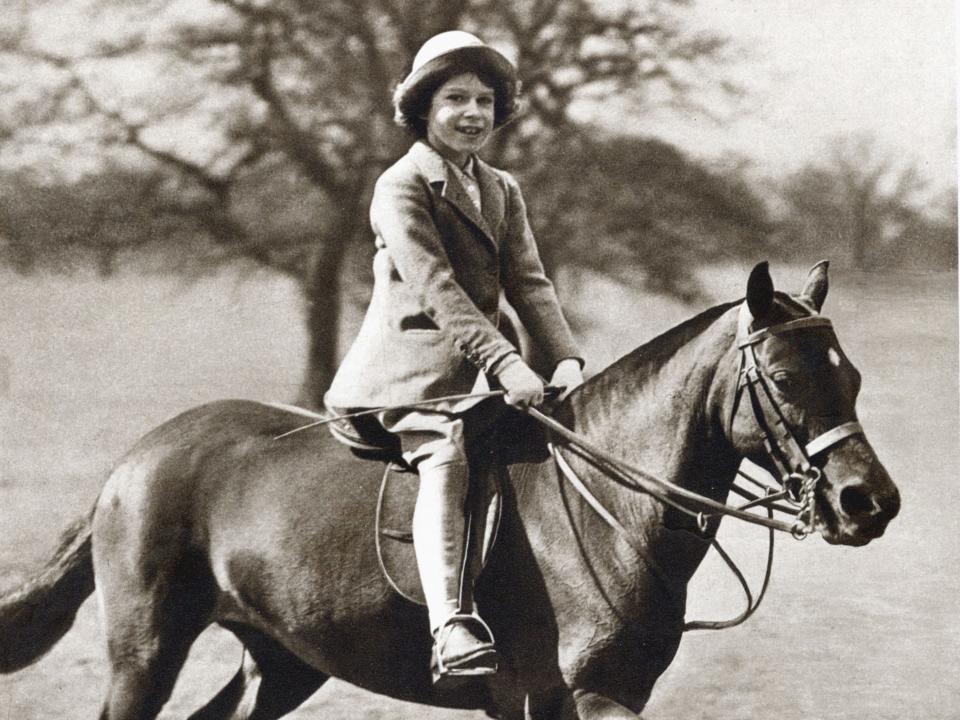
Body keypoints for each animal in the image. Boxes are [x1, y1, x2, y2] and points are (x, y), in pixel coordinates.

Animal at [0, 264, 900, 720]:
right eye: (783, 377)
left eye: (852, 377)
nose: (870, 503)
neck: (608, 509)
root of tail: (134, 461)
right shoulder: (585, 696)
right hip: (146, 654)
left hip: (283, 662)